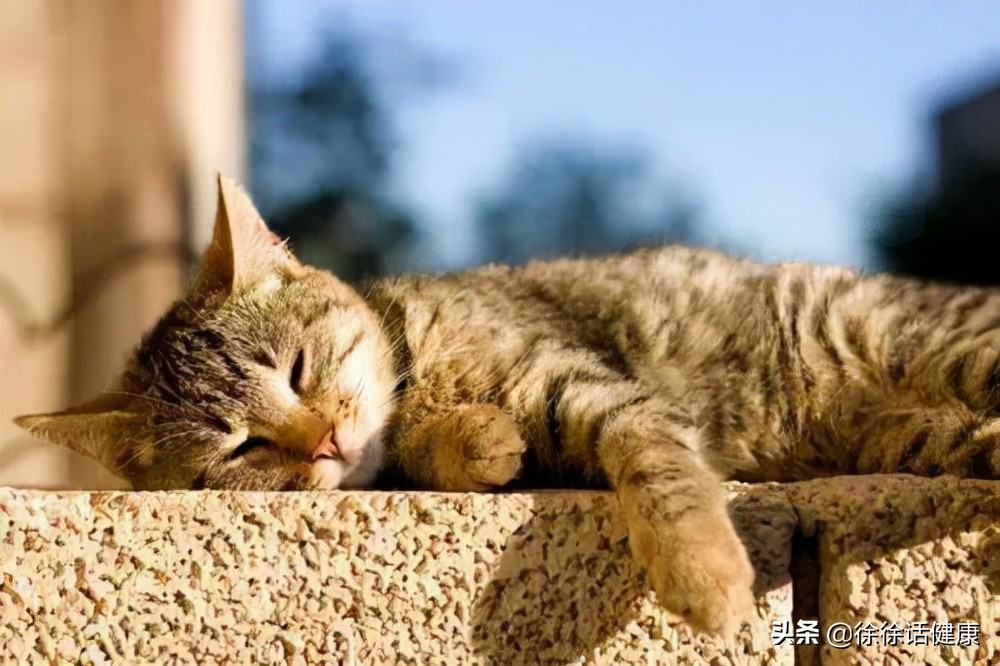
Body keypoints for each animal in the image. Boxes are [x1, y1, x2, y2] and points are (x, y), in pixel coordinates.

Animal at [13, 175, 1000, 632]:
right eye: (238, 449)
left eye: (294, 369)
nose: (323, 438)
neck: (418, 361)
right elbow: (458, 447)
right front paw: (475, 441)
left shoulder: (605, 394)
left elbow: (666, 483)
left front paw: (706, 576)